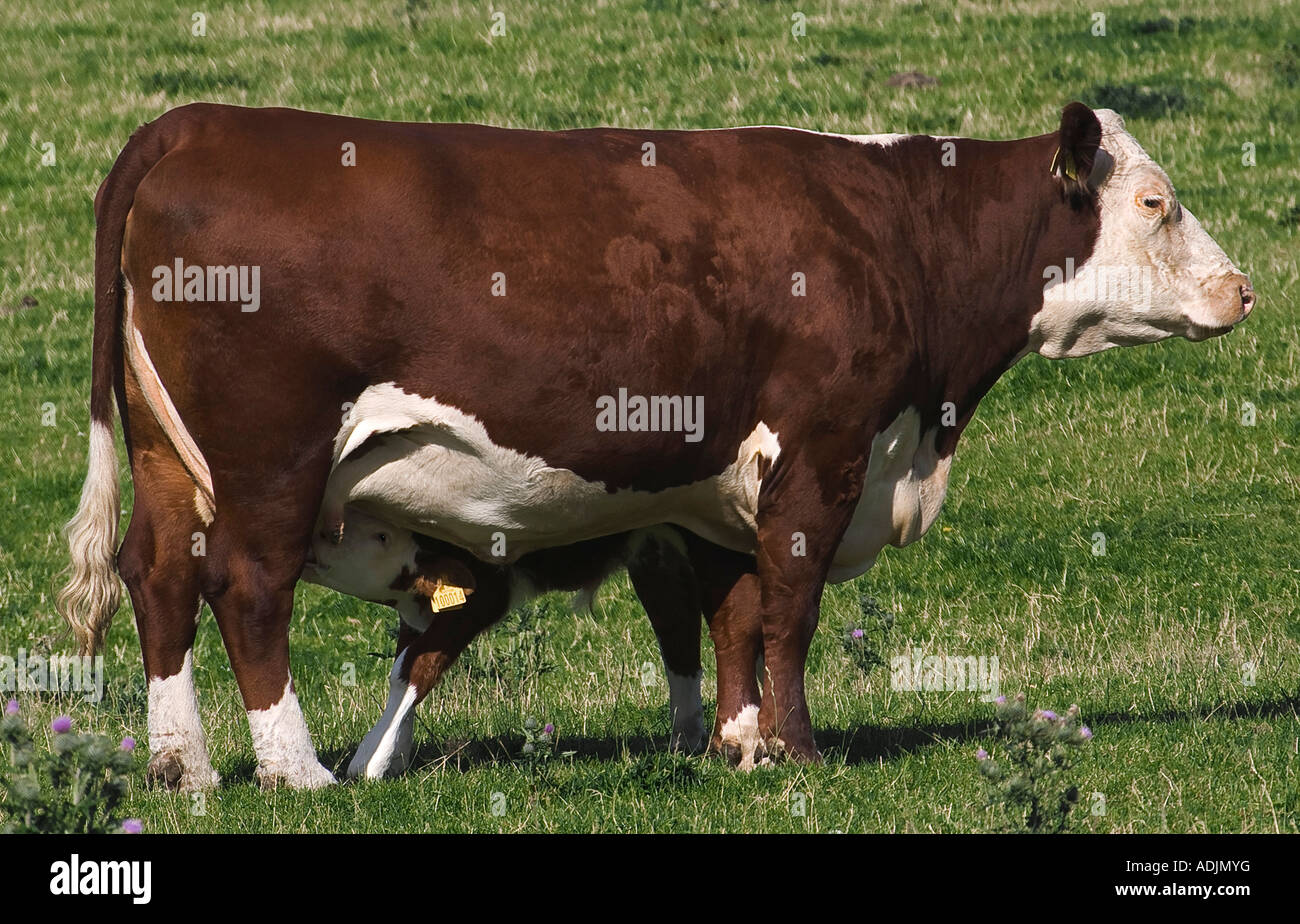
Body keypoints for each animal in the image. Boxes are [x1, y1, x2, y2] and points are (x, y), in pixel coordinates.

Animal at [58, 101, 1253, 789]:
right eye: (1156, 202)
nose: (1242, 289)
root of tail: (199, 121)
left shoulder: (715, 488)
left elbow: (732, 613)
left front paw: (735, 747)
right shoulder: (823, 453)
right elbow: (790, 607)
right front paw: (799, 752)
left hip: (171, 457)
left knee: (157, 578)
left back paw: (183, 769)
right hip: (274, 458)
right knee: (246, 587)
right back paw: (294, 769)